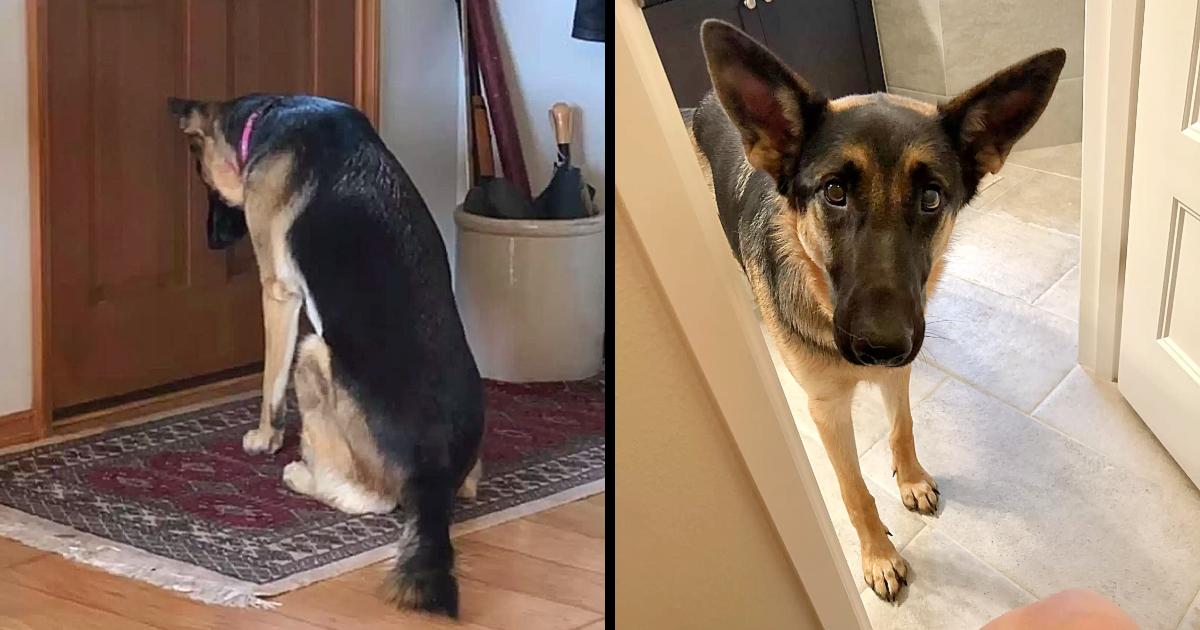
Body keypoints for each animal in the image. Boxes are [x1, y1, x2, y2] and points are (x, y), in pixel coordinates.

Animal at [170, 93, 487, 614]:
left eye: (204, 181)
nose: (211, 241)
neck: (270, 116)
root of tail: (434, 477)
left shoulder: (279, 293)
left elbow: (270, 385)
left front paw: (265, 439)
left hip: (312, 353)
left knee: (370, 497)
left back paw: (303, 475)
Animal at [691, 19, 1065, 600]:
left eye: (931, 198)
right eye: (834, 192)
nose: (881, 346)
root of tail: (704, 98)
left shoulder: (900, 372)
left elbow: (902, 427)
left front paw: (909, 479)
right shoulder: (826, 410)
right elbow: (853, 490)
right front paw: (878, 556)